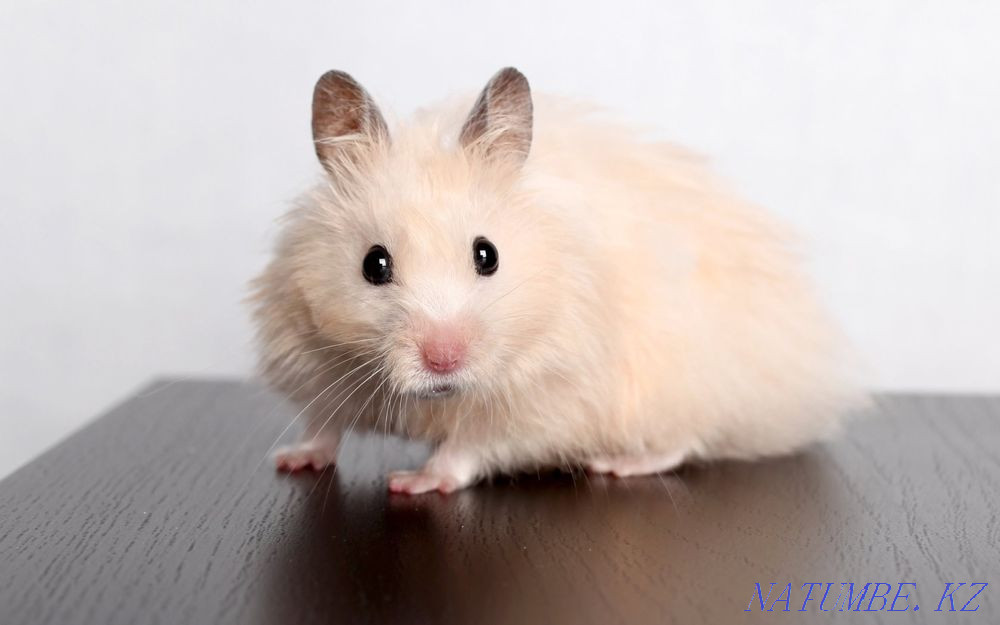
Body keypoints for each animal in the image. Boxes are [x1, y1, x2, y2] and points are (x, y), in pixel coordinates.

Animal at [251, 67, 862, 494]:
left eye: (488, 255)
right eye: (374, 265)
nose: (443, 359)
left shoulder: (543, 401)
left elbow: (470, 446)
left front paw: (412, 483)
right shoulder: (313, 358)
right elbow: (322, 423)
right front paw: (292, 460)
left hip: (684, 382)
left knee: (684, 439)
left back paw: (615, 465)